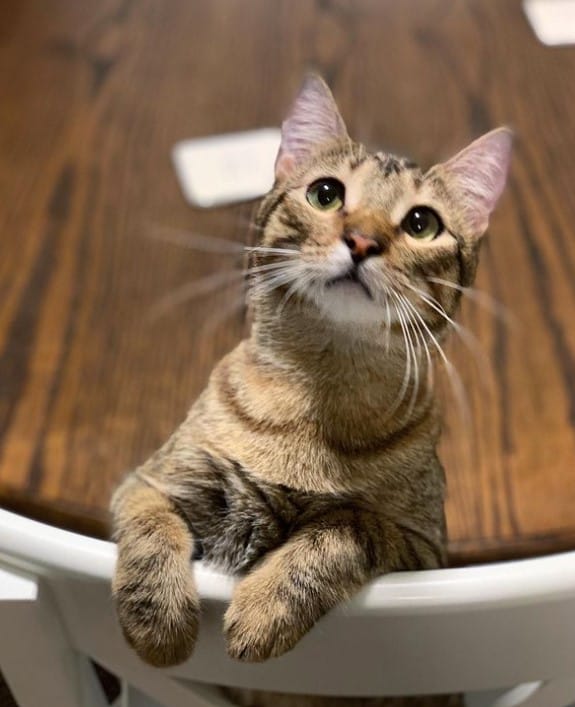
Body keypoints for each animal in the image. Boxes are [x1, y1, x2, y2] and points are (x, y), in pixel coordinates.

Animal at [110, 72, 510, 704]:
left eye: (422, 223)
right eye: (326, 193)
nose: (363, 240)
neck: (314, 396)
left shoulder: (420, 549)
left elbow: (342, 530)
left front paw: (263, 608)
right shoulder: (153, 480)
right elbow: (151, 531)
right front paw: (160, 623)